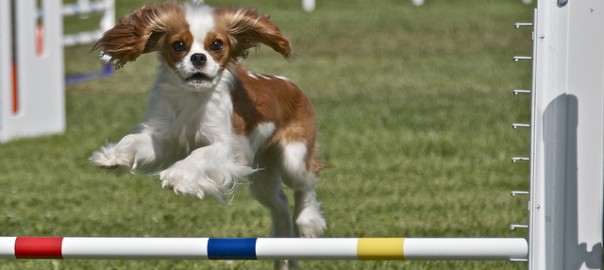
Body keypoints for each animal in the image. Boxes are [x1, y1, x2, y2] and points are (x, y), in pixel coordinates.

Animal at [89, 1, 326, 268]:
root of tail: (291, 85)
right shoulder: (164, 137)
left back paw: (308, 222)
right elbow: (135, 141)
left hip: (293, 159)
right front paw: (113, 156)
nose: (198, 57)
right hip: (262, 178)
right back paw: (284, 255)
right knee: (281, 206)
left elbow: (200, 154)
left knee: (306, 184)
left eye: (216, 45)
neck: (193, 96)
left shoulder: (229, 148)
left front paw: (176, 176)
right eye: (178, 45)